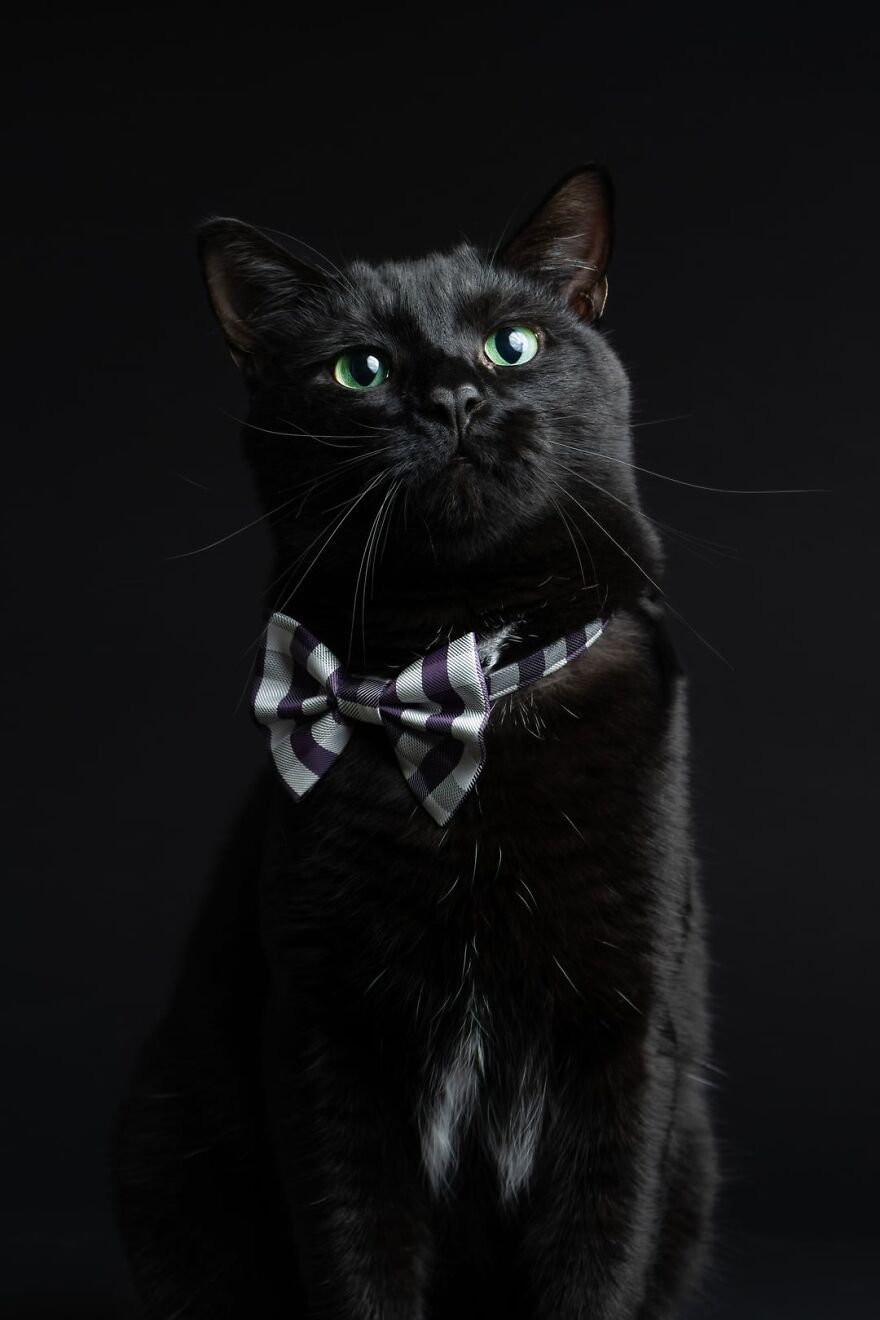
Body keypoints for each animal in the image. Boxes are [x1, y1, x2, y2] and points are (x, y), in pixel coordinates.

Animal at [115, 167, 717, 1320]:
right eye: (362, 369)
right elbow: (360, 1258)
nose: (451, 399)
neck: (458, 688)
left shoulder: (623, 1034)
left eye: (511, 346)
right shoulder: (326, 1037)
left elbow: (600, 1253)